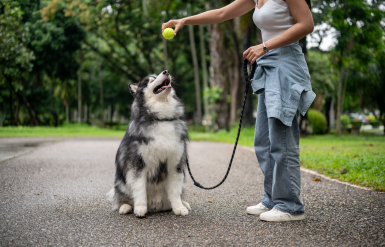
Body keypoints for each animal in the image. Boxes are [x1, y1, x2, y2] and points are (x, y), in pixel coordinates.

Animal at [106, 70, 190, 217]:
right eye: (151, 80)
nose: (166, 71)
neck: (161, 119)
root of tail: (155, 207)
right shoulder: (137, 165)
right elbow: (139, 189)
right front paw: (140, 208)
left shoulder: (175, 164)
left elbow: (175, 191)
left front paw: (179, 207)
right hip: (121, 183)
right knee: (120, 198)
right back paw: (125, 207)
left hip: (183, 182)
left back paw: (183, 203)